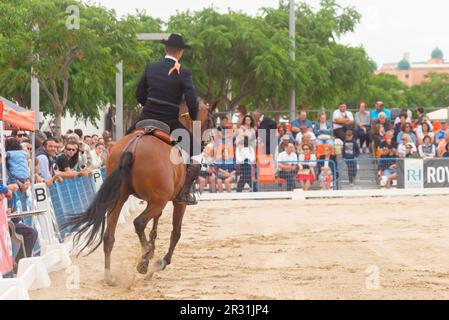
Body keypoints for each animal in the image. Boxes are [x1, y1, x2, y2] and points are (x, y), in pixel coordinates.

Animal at [67, 102, 216, 284]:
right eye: (209, 120)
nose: (207, 141)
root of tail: (133, 146)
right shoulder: (176, 202)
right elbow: (176, 232)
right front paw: (160, 261)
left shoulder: (155, 200)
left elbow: (155, 225)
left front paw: (152, 250)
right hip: (157, 201)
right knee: (139, 222)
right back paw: (144, 259)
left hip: (119, 199)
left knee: (109, 236)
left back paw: (110, 275)